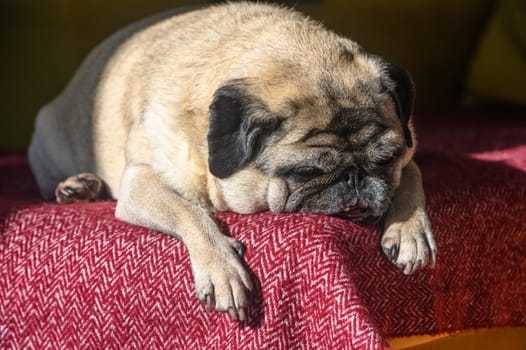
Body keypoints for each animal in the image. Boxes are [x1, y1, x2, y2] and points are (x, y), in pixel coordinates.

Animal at [31, 2, 440, 320]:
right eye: (306, 171)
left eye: (386, 158)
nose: (355, 179)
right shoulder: (140, 182)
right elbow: (190, 212)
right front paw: (221, 267)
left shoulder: (407, 150)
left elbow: (413, 175)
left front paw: (410, 229)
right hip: (45, 136)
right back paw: (76, 187)